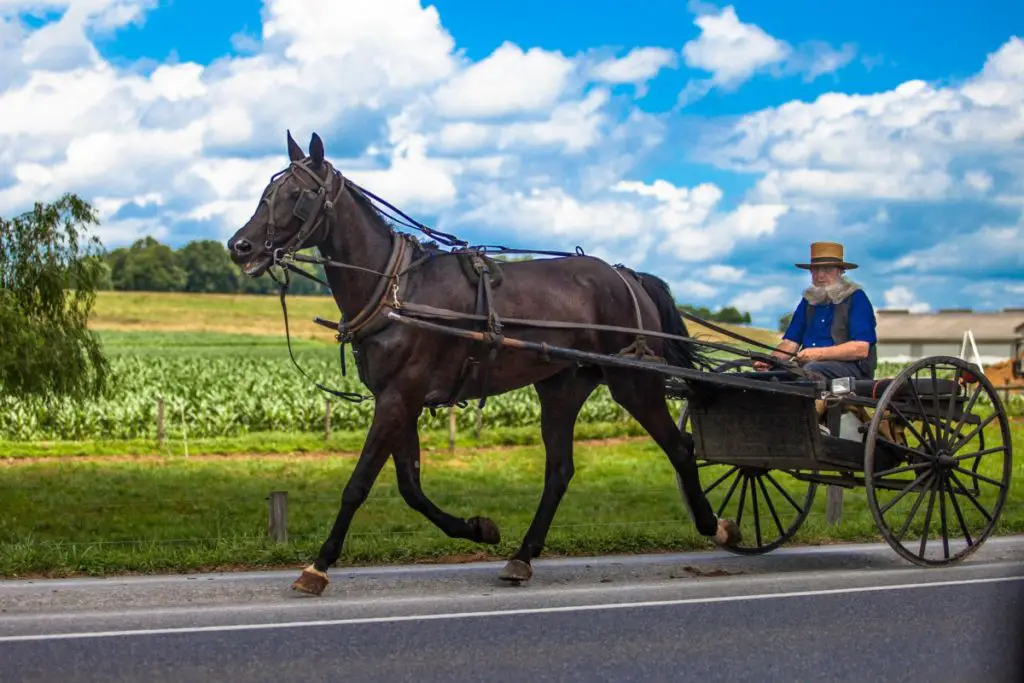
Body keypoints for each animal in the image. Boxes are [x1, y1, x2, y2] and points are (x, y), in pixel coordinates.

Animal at [228, 131, 741, 593]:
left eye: (296, 195)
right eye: (267, 192)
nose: (240, 246)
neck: (396, 288)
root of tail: (626, 275)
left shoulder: (399, 397)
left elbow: (359, 484)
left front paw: (318, 566)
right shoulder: (400, 400)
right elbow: (410, 488)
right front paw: (478, 528)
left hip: (633, 381)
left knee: (680, 448)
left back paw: (716, 526)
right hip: (562, 385)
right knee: (559, 471)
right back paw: (522, 557)